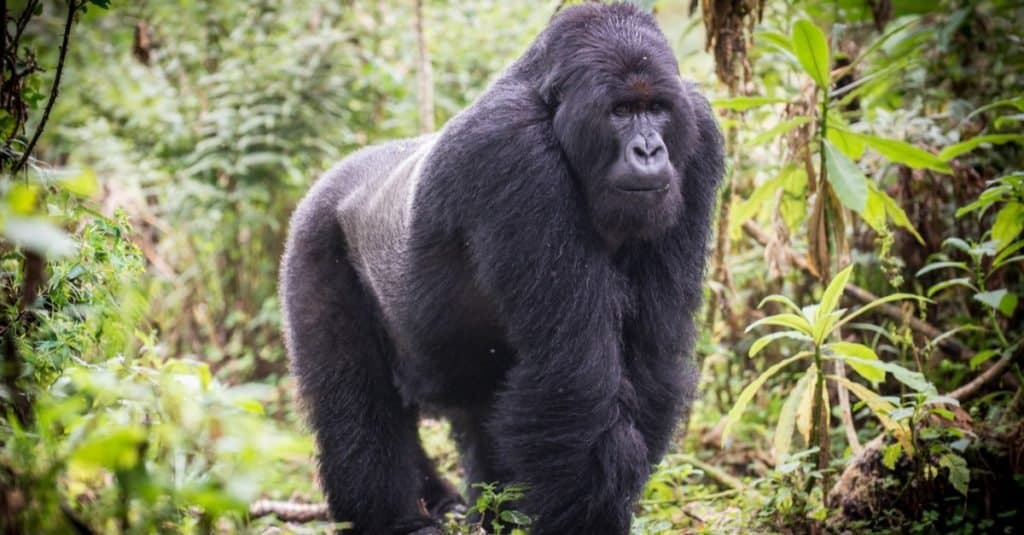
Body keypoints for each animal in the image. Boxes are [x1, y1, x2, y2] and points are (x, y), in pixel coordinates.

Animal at [284, 2, 724, 528]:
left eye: (656, 108)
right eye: (621, 112)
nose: (649, 149)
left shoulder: (698, 142)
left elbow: (650, 358)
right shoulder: (515, 152)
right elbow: (574, 378)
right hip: (313, 238)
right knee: (358, 405)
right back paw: (395, 519)